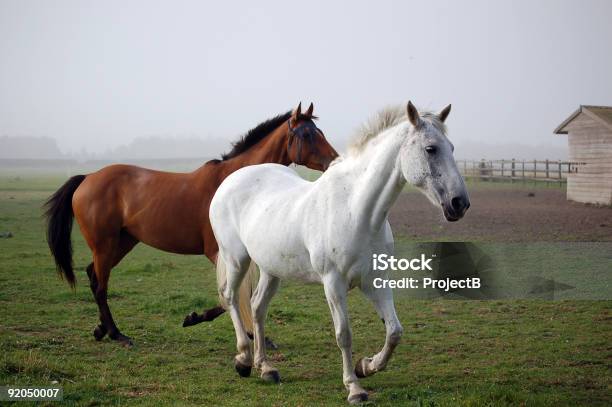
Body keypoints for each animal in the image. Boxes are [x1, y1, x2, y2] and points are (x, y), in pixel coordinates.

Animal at [44, 103, 340, 348]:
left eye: (319, 131)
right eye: (306, 135)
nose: (335, 161)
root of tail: (88, 178)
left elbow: (242, 293)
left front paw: (256, 335)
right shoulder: (220, 252)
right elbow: (230, 294)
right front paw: (196, 318)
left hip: (122, 243)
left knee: (93, 275)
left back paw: (101, 330)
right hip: (105, 245)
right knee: (100, 286)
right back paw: (117, 334)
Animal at [209, 103, 468, 404]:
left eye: (451, 147)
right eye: (430, 149)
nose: (459, 203)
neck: (356, 210)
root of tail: (230, 180)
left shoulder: (375, 281)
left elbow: (394, 331)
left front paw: (367, 366)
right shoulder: (333, 284)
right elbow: (344, 334)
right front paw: (354, 388)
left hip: (270, 269)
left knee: (257, 307)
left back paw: (266, 368)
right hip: (236, 259)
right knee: (230, 297)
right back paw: (243, 359)